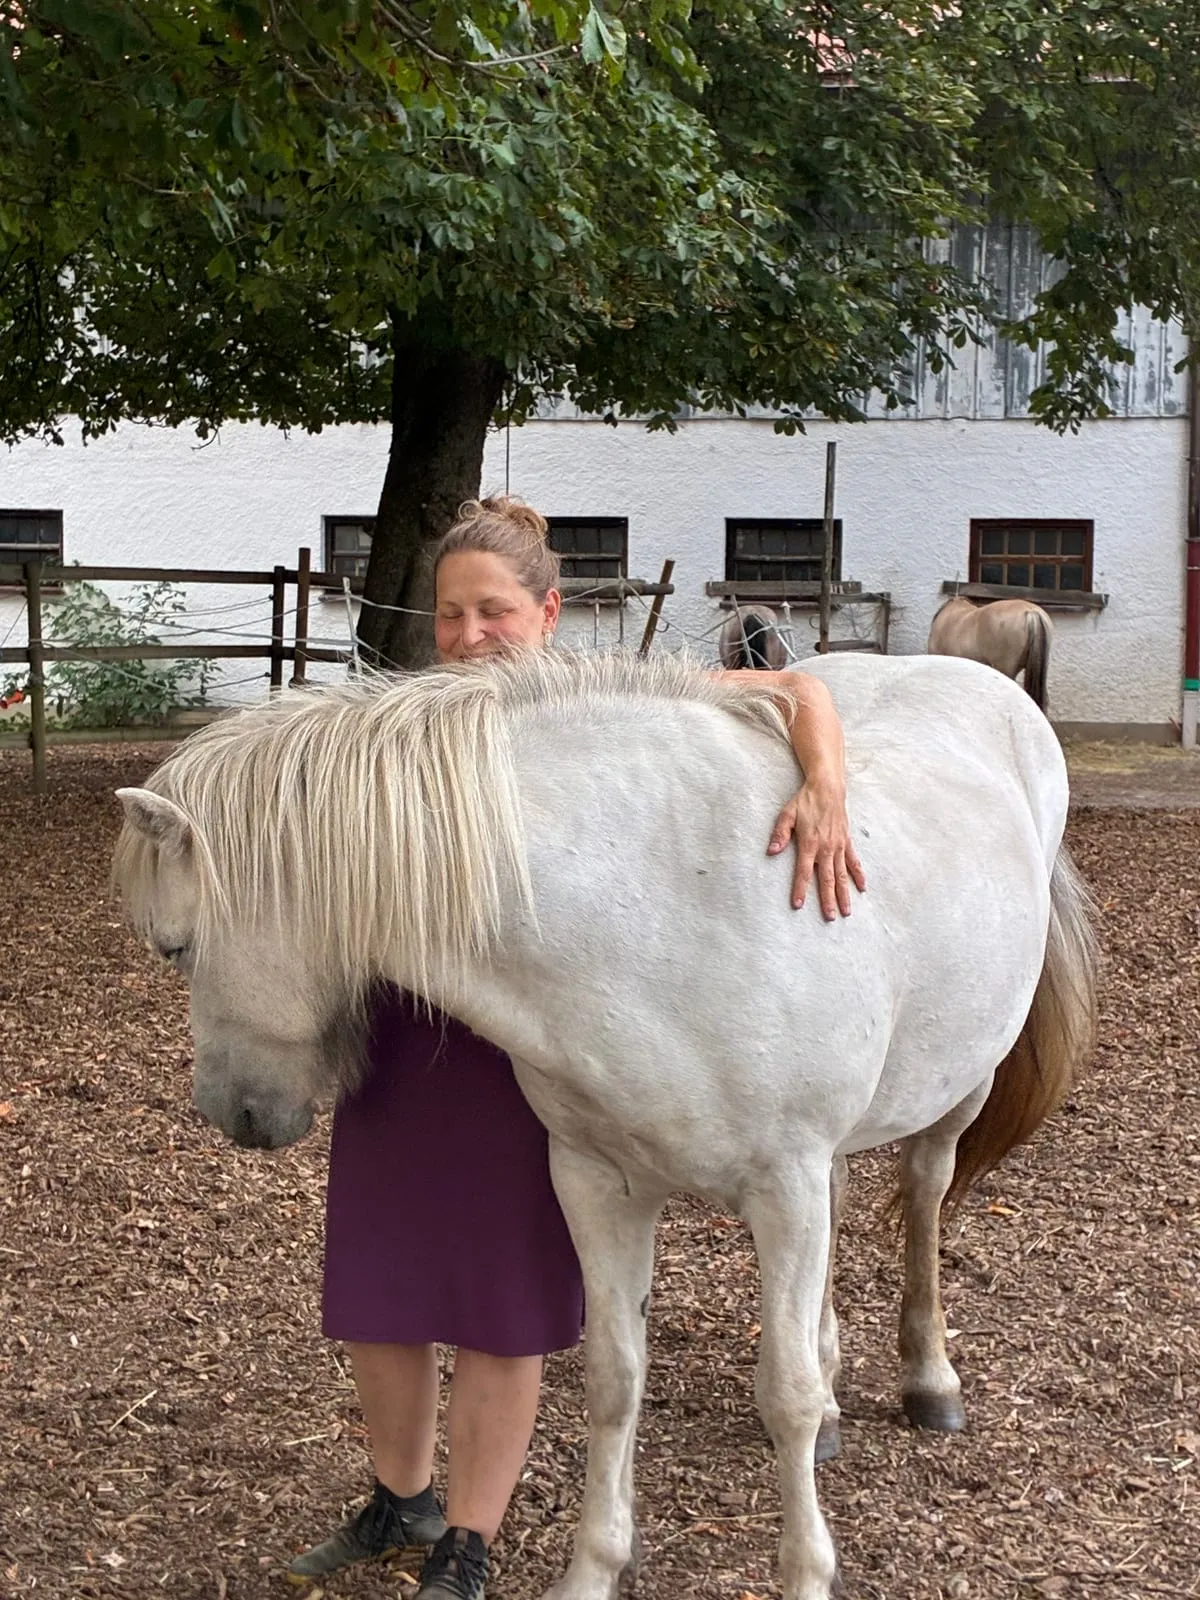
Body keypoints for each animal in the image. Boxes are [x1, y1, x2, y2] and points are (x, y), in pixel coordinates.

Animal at [112, 651, 1097, 1600]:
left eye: (178, 949)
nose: (228, 1112)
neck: (661, 909)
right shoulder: (596, 1183)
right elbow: (614, 1379)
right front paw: (594, 1568)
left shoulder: (781, 1188)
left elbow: (782, 1392)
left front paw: (807, 1572)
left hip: (957, 1089)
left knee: (926, 1193)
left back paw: (930, 1381)